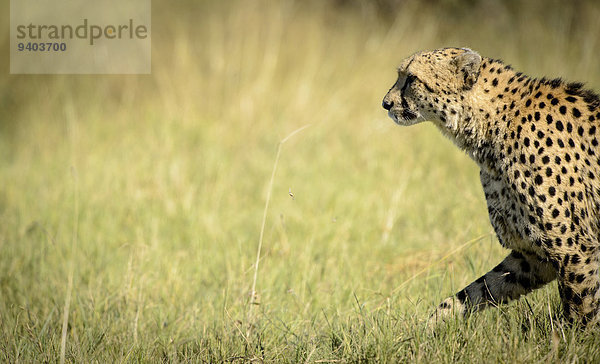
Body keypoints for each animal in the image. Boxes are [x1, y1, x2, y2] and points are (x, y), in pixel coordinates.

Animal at [384, 47, 600, 324]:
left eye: (411, 78)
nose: (386, 103)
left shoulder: (575, 250)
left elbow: (581, 314)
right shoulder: (533, 256)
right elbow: (476, 290)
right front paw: (431, 324)